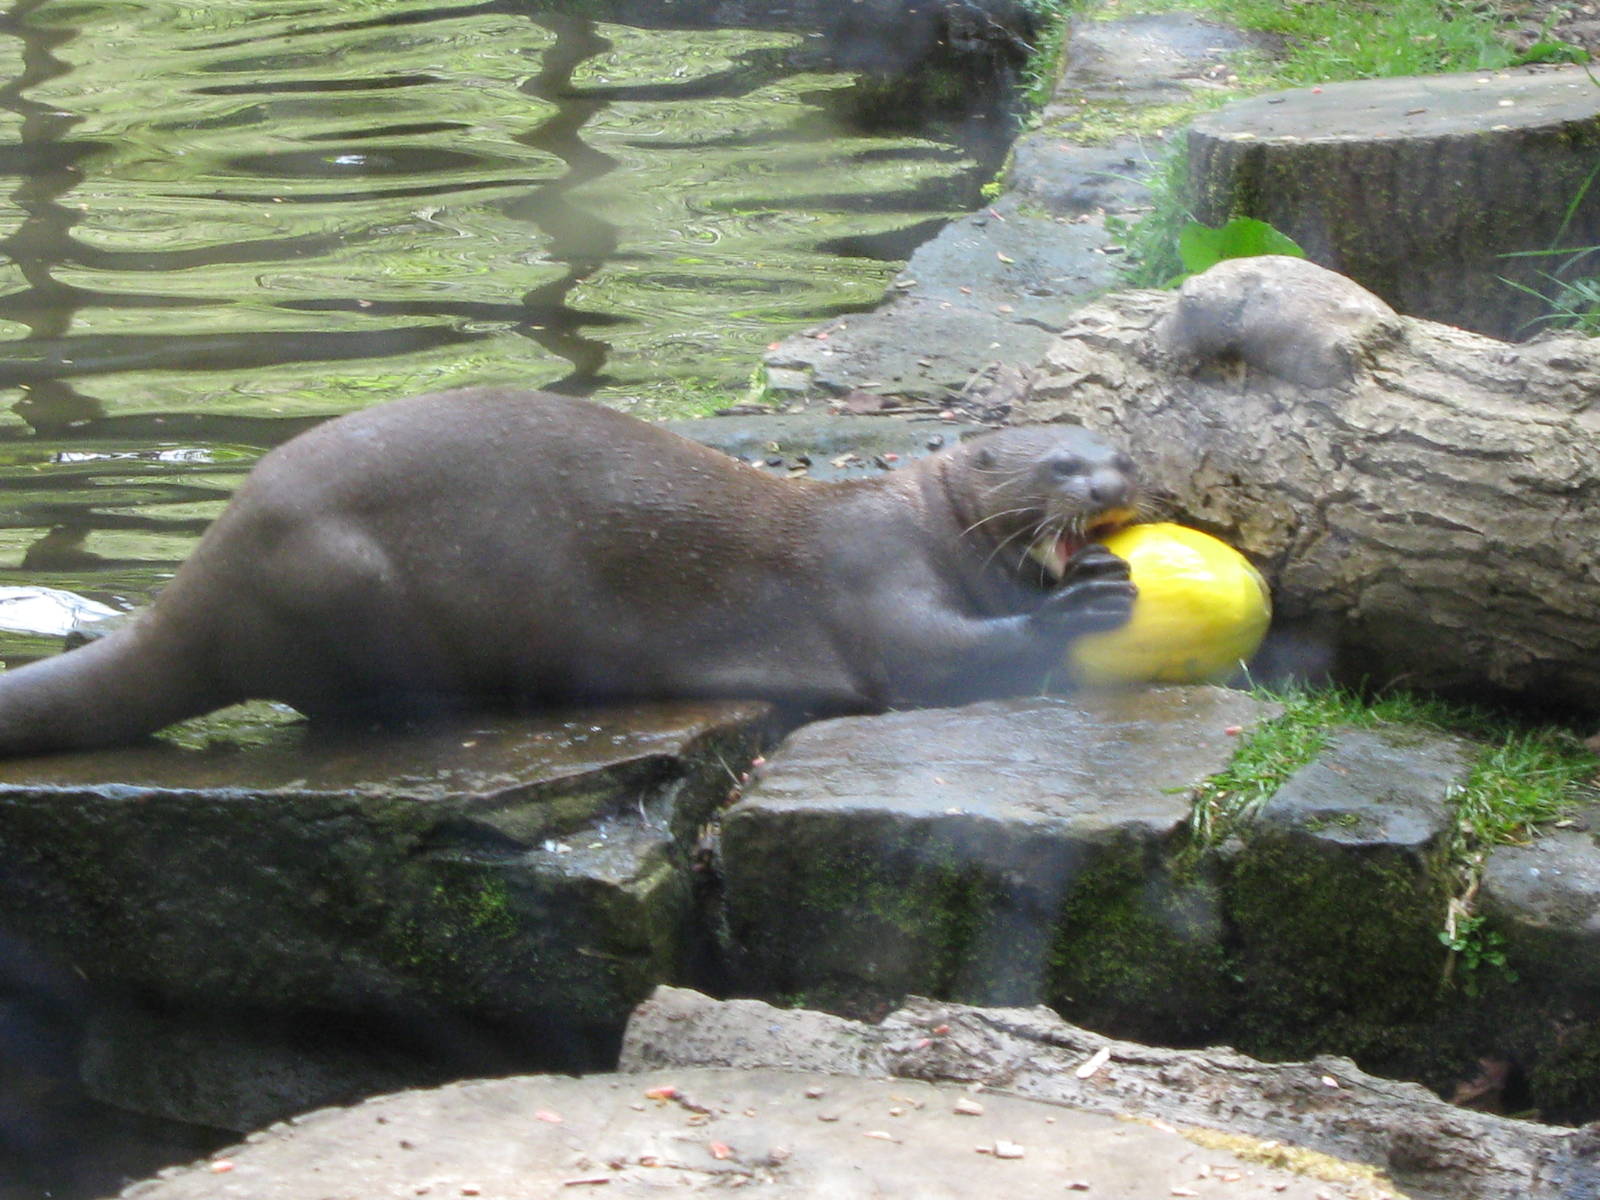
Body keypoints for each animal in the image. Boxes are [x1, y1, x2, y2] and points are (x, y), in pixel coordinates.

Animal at [0, 388, 1138, 756]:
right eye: (1059, 464)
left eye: (1118, 445)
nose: (1115, 479)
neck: (918, 523)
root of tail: (209, 570)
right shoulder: (874, 582)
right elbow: (934, 660)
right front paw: (1081, 605)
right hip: (343, 582)